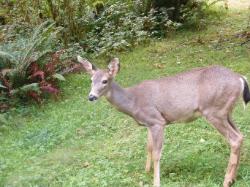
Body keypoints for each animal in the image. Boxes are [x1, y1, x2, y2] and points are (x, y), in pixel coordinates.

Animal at [77, 55, 249, 187]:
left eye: (105, 81)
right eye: (91, 80)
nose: (91, 97)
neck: (133, 102)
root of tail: (240, 78)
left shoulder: (157, 121)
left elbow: (156, 153)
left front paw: (156, 182)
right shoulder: (149, 123)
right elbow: (148, 147)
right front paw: (146, 172)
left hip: (213, 110)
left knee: (234, 139)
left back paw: (226, 181)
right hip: (226, 111)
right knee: (241, 135)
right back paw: (233, 178)